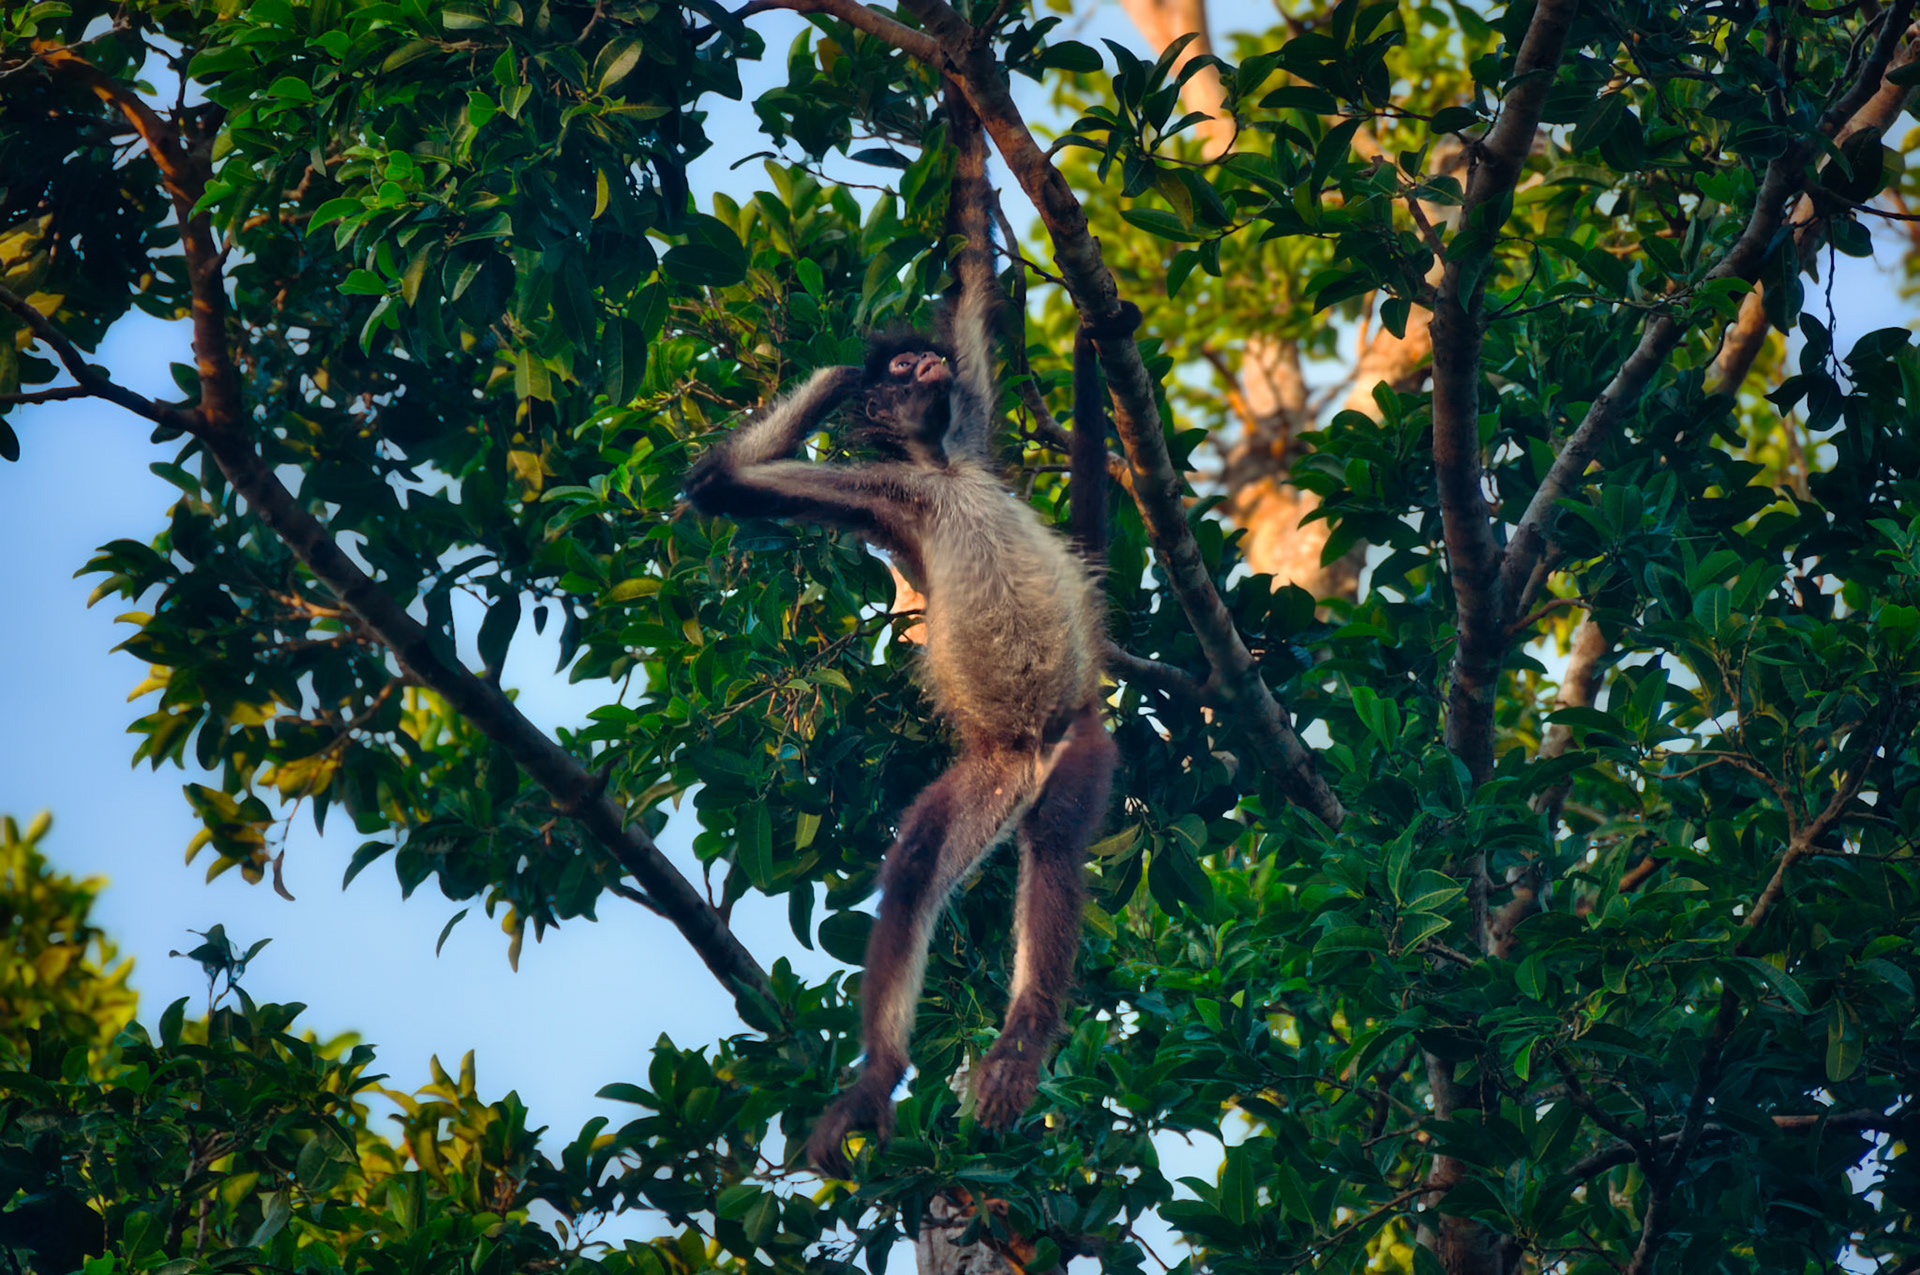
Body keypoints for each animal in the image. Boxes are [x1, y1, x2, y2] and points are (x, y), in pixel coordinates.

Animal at [684, 82, 1141, 1176]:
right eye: (906, 363)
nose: (921, 362)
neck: (938, 472)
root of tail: (1027, 754)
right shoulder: (881, 495)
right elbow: (721, 485)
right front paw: (839, 376)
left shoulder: (962, 430)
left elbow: (972, 262)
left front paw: (968, 94)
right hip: (991, 770)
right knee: (922, 865)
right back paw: (880, 1075)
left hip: (1080, 747)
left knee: (1055, 849)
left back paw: (1020, 1044)